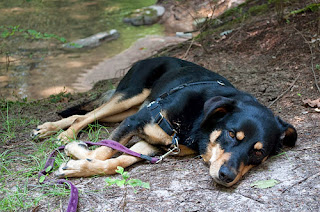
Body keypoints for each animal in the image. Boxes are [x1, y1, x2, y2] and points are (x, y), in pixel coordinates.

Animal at [33, 56, 298, 187]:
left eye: (258, 152)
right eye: (232, 134)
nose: (226, 176)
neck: (197, 125)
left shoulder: (156, 144)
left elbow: (118, 160)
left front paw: (79, 162)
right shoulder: (135, 121)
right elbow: (105, 150)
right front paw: (76, 154)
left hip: (131, 106)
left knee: (84, 115)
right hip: (130, 98)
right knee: (89, 115)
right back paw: (60, 133)